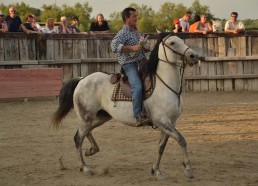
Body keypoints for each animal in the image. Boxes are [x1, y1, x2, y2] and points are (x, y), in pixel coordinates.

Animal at [51, 33, 199, 180]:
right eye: (173, 43)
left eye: (181, 40)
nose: (193, 56)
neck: (165, 85)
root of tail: (82, 80)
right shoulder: (162, 121)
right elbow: (181, 140)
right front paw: (188, 170)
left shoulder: (171, 122)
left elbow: (161, 146)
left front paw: (156, 170)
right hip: (86, 117)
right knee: (78, 138)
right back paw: (85, 167)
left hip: (100, 117)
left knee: (85, 132)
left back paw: (91, 150)